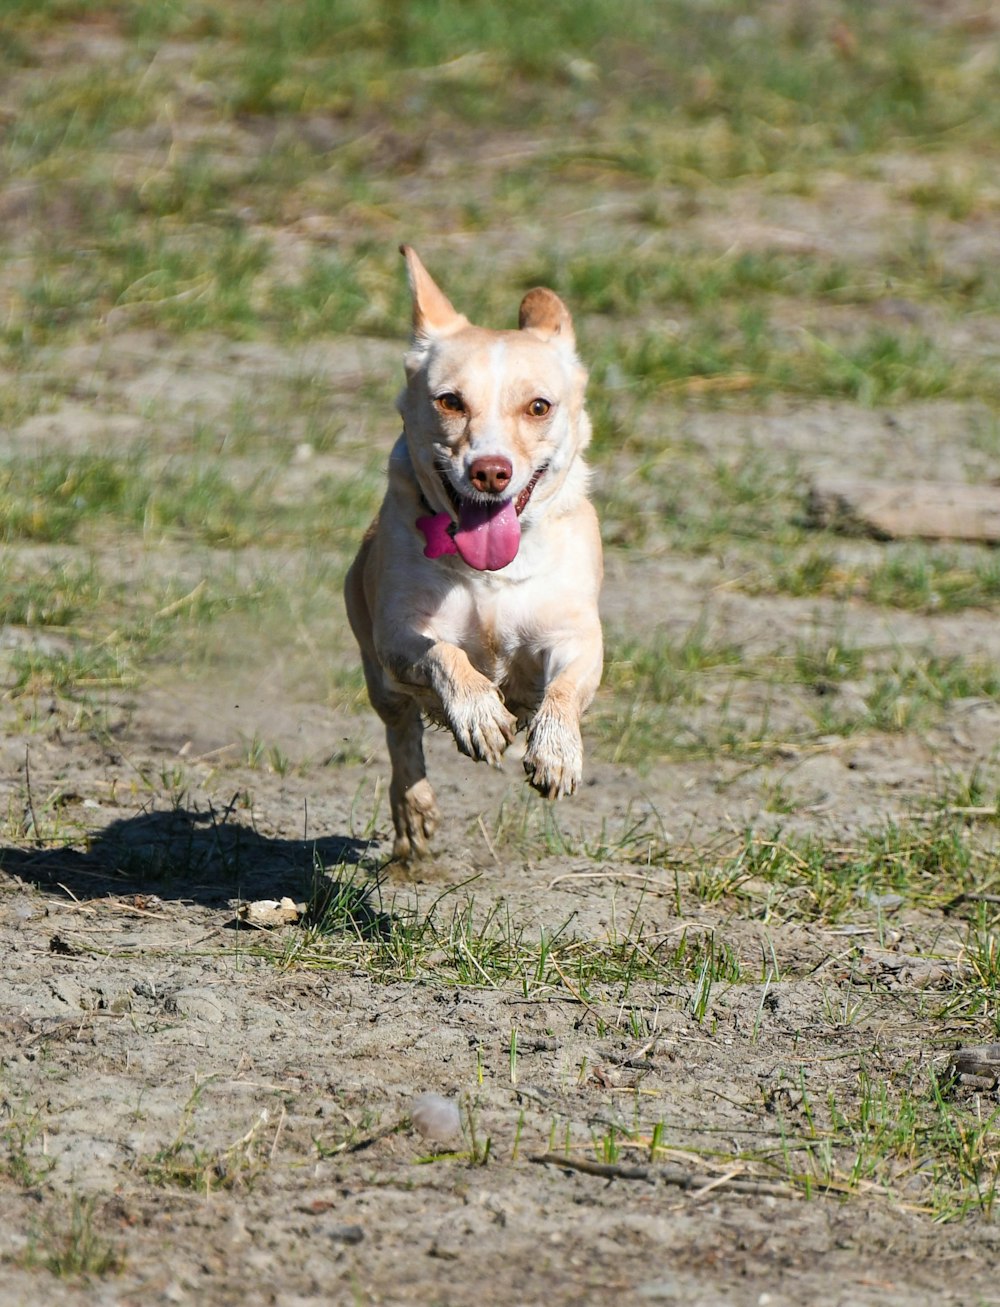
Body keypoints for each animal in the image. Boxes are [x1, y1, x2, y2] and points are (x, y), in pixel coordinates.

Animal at [342, 247, 601, 857]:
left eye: (539, 406)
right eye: (450, 402)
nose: (490, 470)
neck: (492, 573)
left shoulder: (576, 637)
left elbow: (565, 687)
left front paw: (556, 752)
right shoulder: (398, 635)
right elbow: (445, 655)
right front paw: (480, 712)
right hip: (380, 678)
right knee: (402, 736)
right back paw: (413, 816)